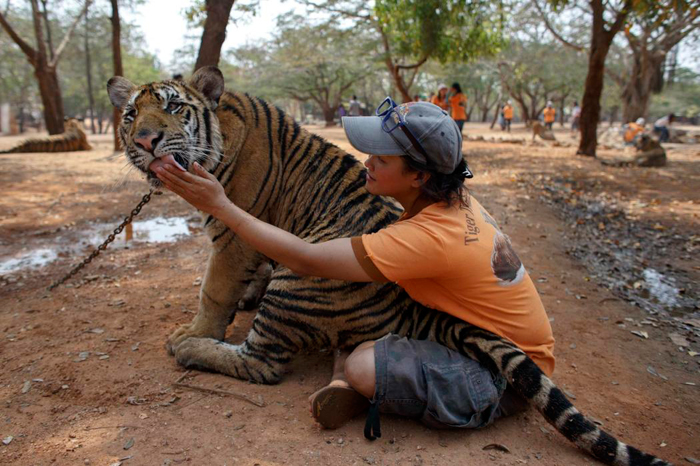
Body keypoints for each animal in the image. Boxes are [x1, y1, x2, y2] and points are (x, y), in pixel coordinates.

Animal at [106, 66, 668, 466]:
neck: (221, 134)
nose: (144, 141)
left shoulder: (233, 236)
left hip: (298, 275)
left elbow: (214, 289)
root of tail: (413, 310)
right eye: (131, 115)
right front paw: (235, 304)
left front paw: (197, 328)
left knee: (262, 362)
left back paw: (192, 349)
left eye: (174, 108)